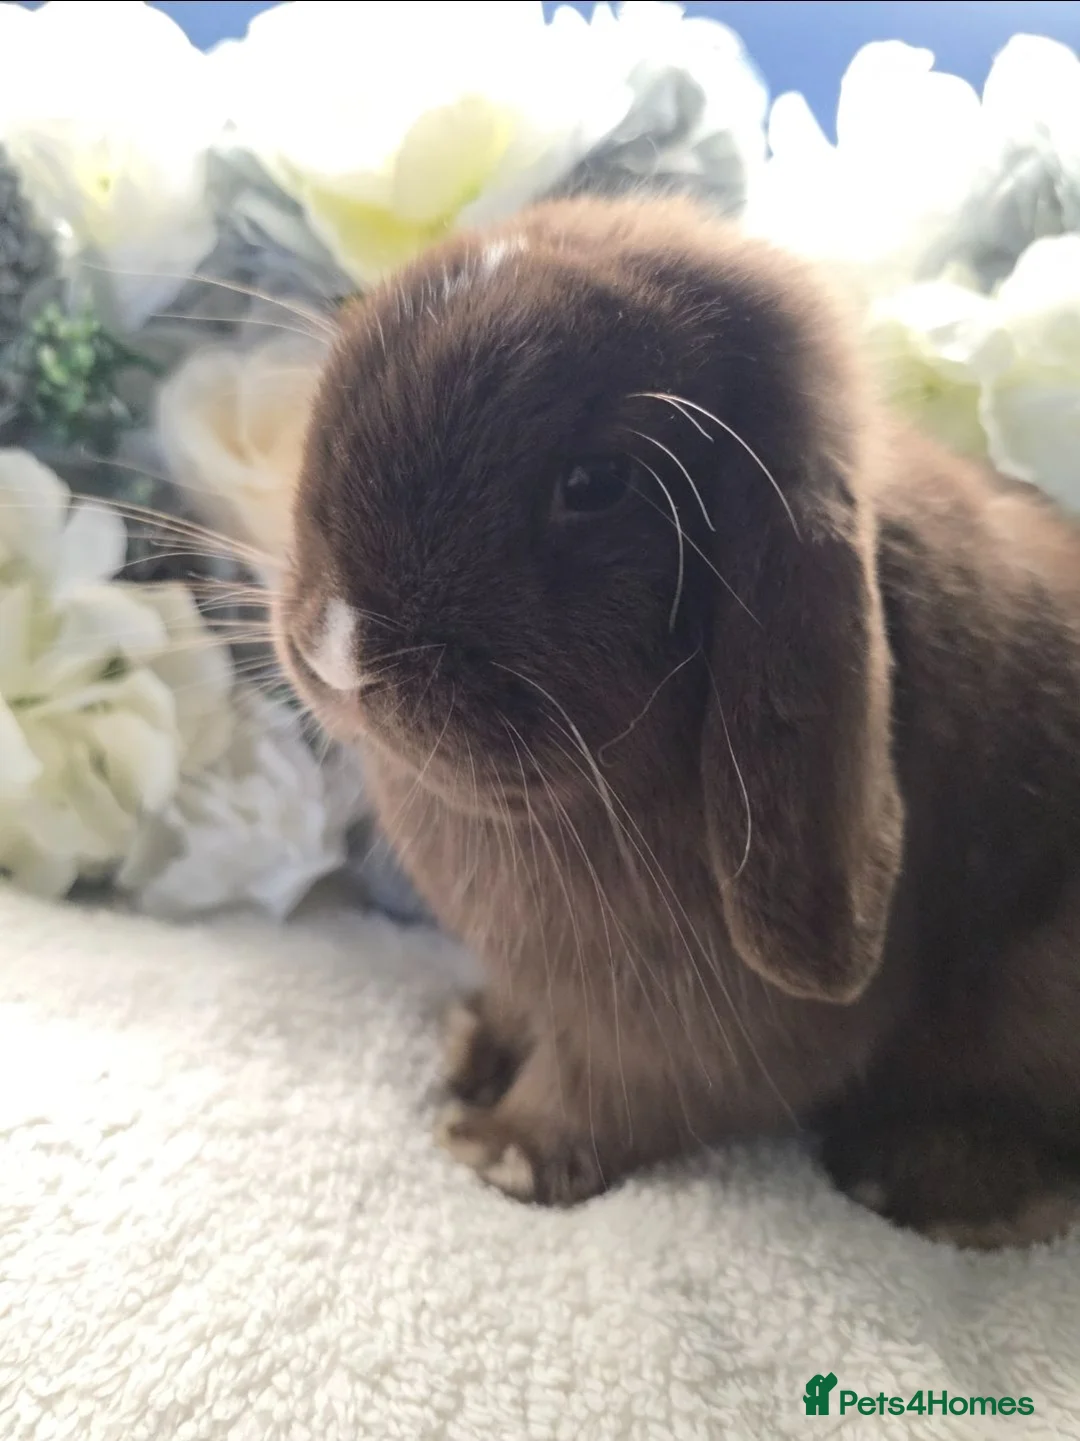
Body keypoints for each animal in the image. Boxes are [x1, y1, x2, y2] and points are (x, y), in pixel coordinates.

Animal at [275, 194, 1080, 1249]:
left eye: (596, 484)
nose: (339, 646)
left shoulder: (676, 1031)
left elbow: (609, 1094)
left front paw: (494, 1149)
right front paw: (468, 1046)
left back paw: (916, 1180)